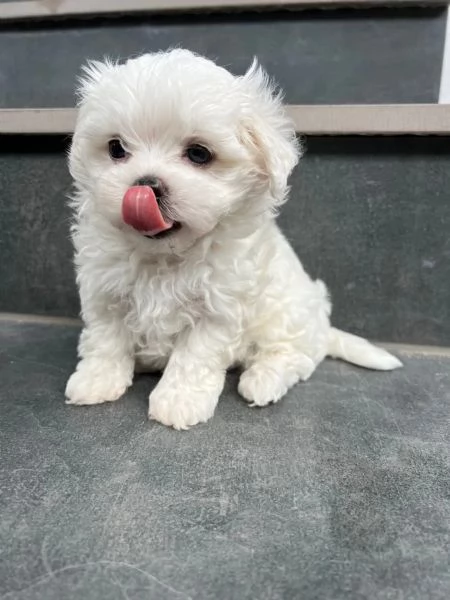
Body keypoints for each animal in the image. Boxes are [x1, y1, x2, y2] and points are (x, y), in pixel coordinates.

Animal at [64, 49, 400, 428]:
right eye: (116, 148)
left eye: (199, 153)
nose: (146, 185)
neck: (166, 255)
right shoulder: (104, 291)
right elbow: (106, 339)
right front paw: (96, 381)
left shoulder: (218, 308)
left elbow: (194, 356)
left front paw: (180, 401)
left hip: (289, 312)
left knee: (294, 355)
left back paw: (263, 380)